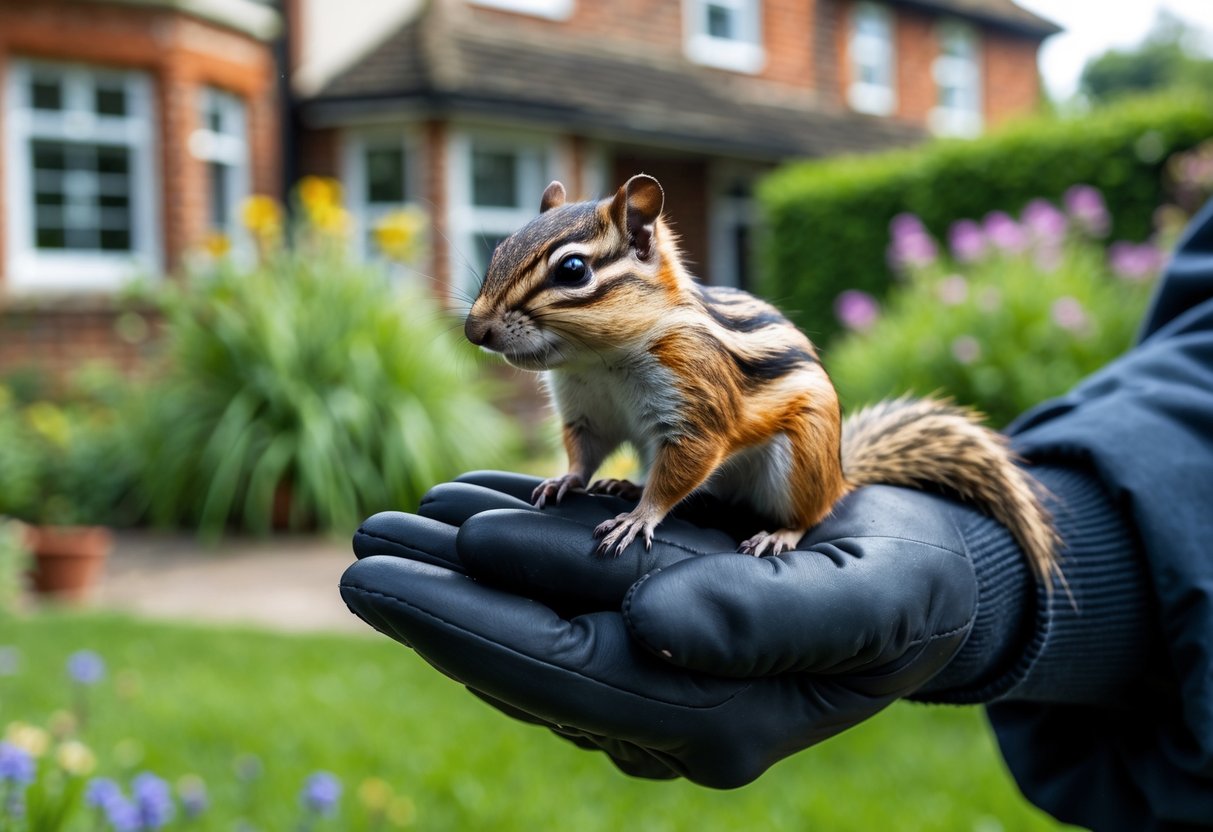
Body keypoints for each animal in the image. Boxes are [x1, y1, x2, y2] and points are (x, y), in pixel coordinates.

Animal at [464, 174, 1060, 587]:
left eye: (572, 270)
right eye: (500, 248)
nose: (474, 330)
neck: (598, 360)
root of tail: (840, 473)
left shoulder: (695, 408)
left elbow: (681, 473)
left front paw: (639, 518)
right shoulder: (586, 410)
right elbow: (584, 453)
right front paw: (567, 481)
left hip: (799, 461)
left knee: (810, 512)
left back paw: (777, 533)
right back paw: (626, 483)